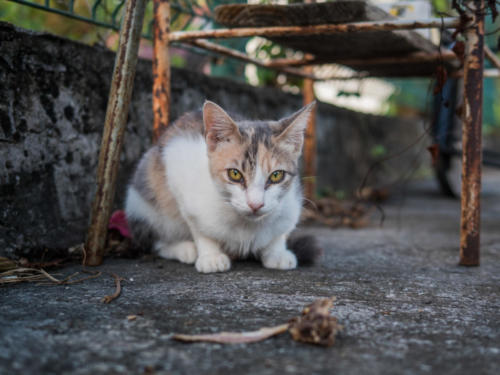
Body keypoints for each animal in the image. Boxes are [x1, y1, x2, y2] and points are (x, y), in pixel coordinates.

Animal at [125, 100, 320, 274]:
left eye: (276, 175)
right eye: (235, 174)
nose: (255, 204)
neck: (246, 225)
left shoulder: (291, 204)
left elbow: (280, 231)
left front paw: (277, 252)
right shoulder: (178, 166)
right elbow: (199, 227)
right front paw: (210, 256)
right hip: (145, 197)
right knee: (156, 240)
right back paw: (184, 249)